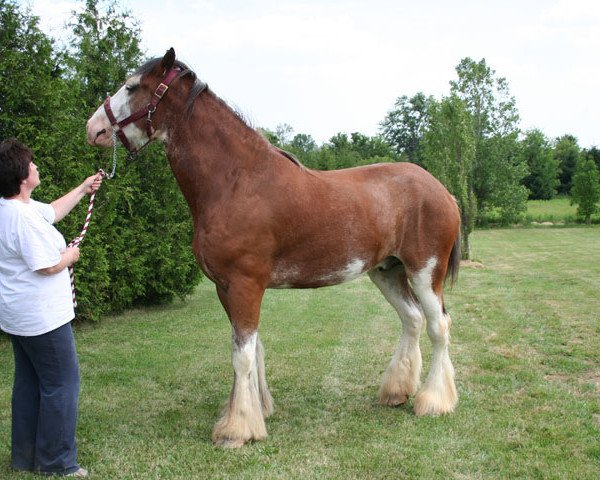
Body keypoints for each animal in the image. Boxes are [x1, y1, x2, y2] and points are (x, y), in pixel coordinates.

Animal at [85, 47, 460, 446]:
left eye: (131, 86)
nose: (93, 129)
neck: (236, 181)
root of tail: (442, 190)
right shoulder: (227, 287)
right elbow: (252, 348)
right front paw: (257, 410)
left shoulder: (245, 284)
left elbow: (242, 355)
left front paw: (236, 430)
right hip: (387, 272)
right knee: (412, 319)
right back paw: (396, 392)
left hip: (424, 272)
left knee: (438, 326)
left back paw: (433, 401)